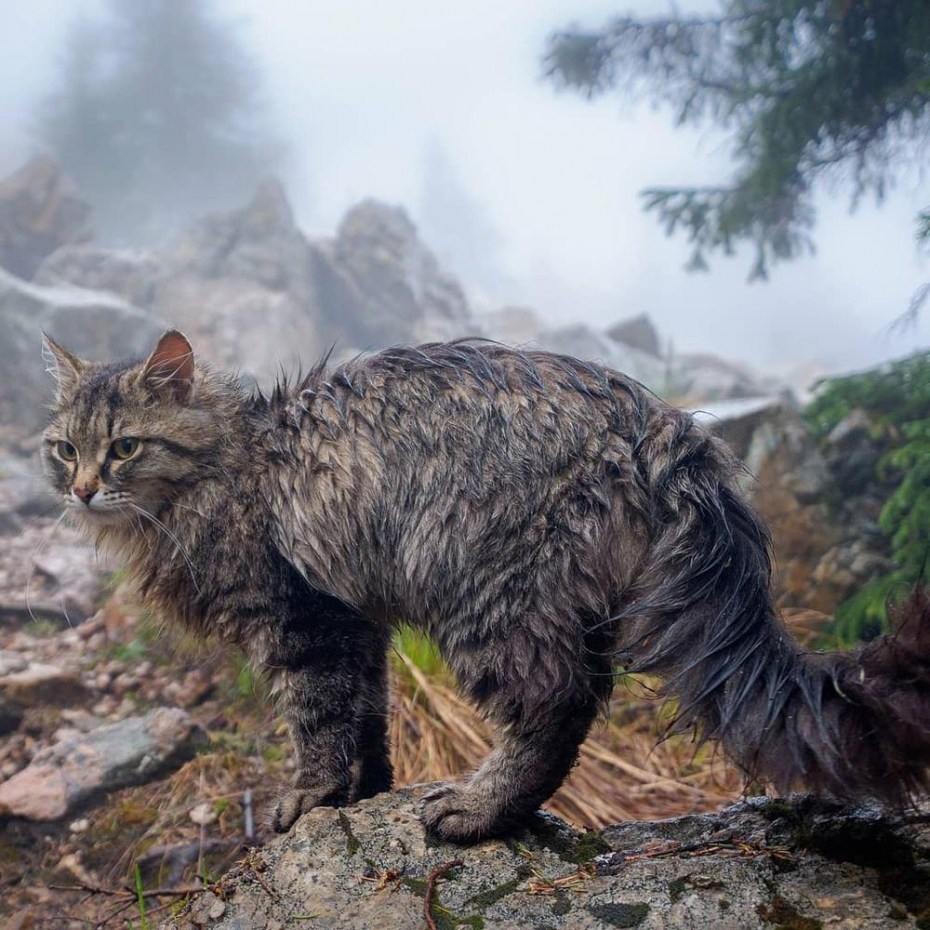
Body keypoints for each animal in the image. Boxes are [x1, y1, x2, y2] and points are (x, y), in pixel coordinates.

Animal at [41, 330, 928, 836]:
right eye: (63, 449)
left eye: (123, 448)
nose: (80, 489)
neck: (228, 467)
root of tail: (665, 427)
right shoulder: (356, 623)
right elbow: (368, 718)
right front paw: (365, 795)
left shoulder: (303, 619)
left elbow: (317, 723)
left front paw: (313, 798)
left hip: (487, 590)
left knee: (557, 707)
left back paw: (480, 809)